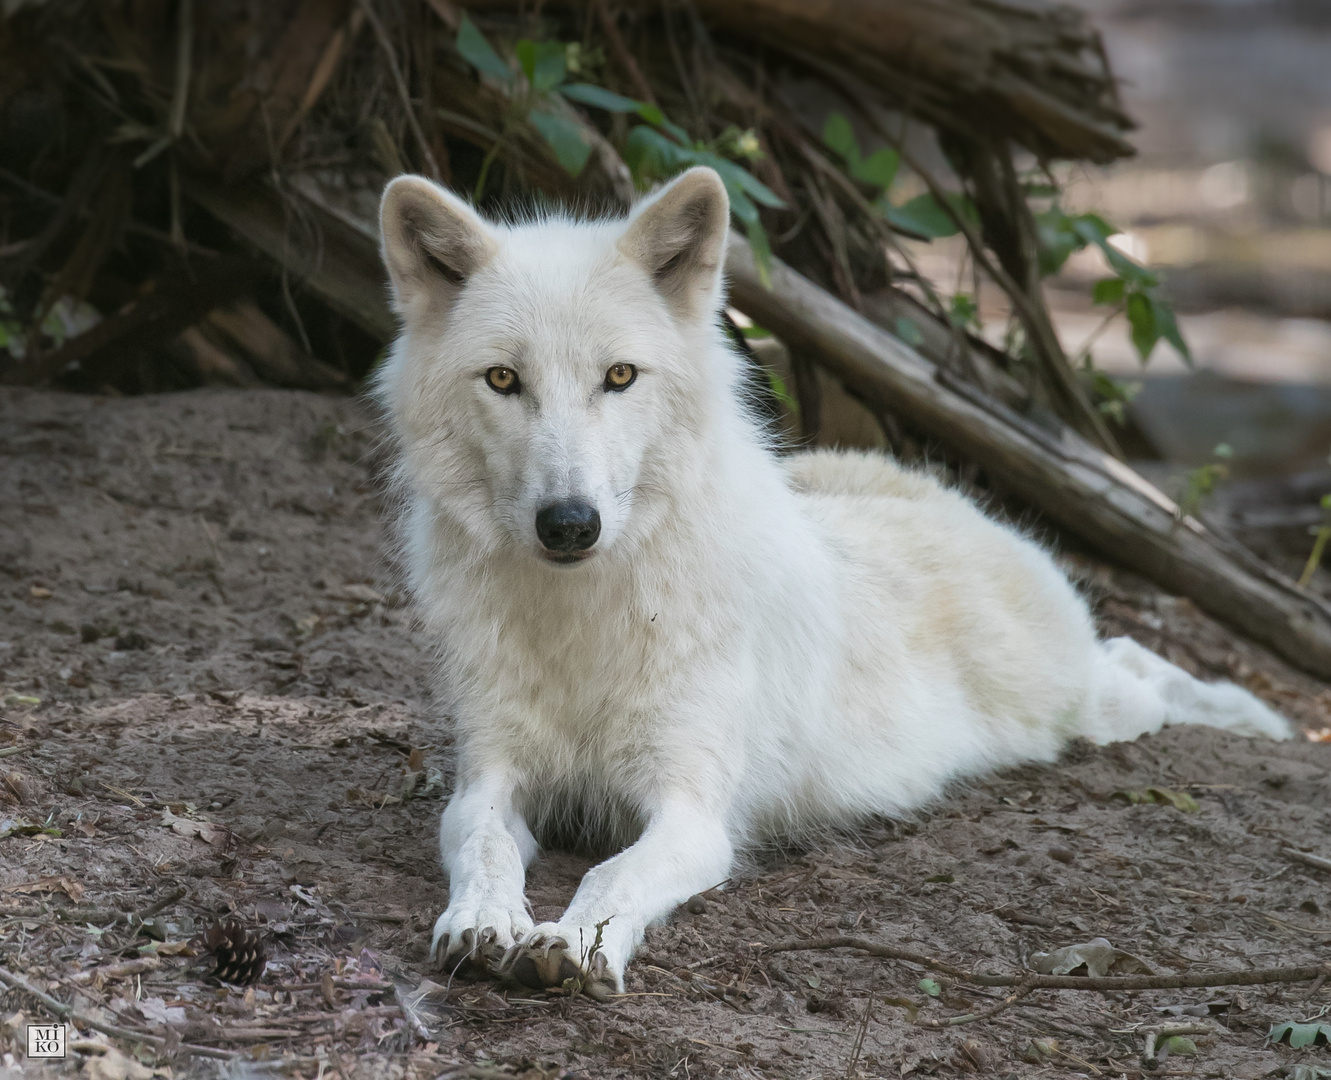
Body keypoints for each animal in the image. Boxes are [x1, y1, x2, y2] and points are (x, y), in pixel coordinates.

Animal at [375, 167, 1288, 996]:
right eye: (503, 379)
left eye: (619, 376)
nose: (569, 523)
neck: (580, 618)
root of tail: (928, 486)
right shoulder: (490, 777)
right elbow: (484, 844)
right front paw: (483, 923)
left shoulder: (692, 812)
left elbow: (611, 874)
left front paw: (575, 942)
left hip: (1085, 709)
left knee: (1139, 661)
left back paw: (1262, 722)